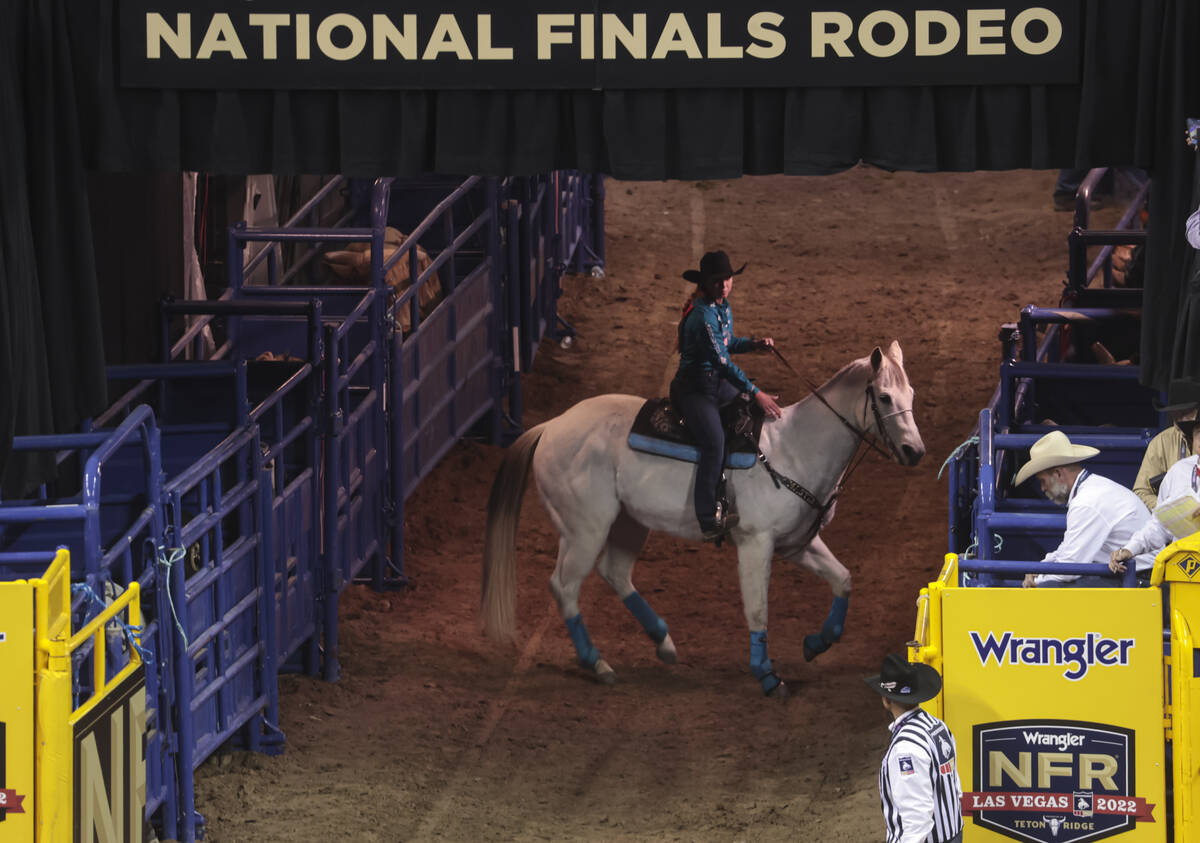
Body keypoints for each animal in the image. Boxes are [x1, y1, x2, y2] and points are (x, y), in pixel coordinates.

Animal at [482, 341, 921, 696]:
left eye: (911, 393)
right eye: (884, 397)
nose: (915, 451)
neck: (793, 449)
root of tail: (551, 427)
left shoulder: (797, 544)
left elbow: (843, 580)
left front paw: (816, 644)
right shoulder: (755, 545)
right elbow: (757, 609)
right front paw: (767, 675)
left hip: (627, 523)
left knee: (614, 572)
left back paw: (663, 643)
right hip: (585, 530)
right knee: (565, 586)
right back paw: (598, 662)